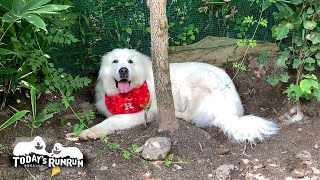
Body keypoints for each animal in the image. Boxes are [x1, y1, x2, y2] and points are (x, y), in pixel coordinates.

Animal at [79, 48, 278, 143]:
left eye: (130, 61)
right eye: (115, 61)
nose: (123, 70)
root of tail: (233, 114)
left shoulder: (145, 112)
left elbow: (112, 120)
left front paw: (90, 132)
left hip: (197, 82)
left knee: (190, 116)